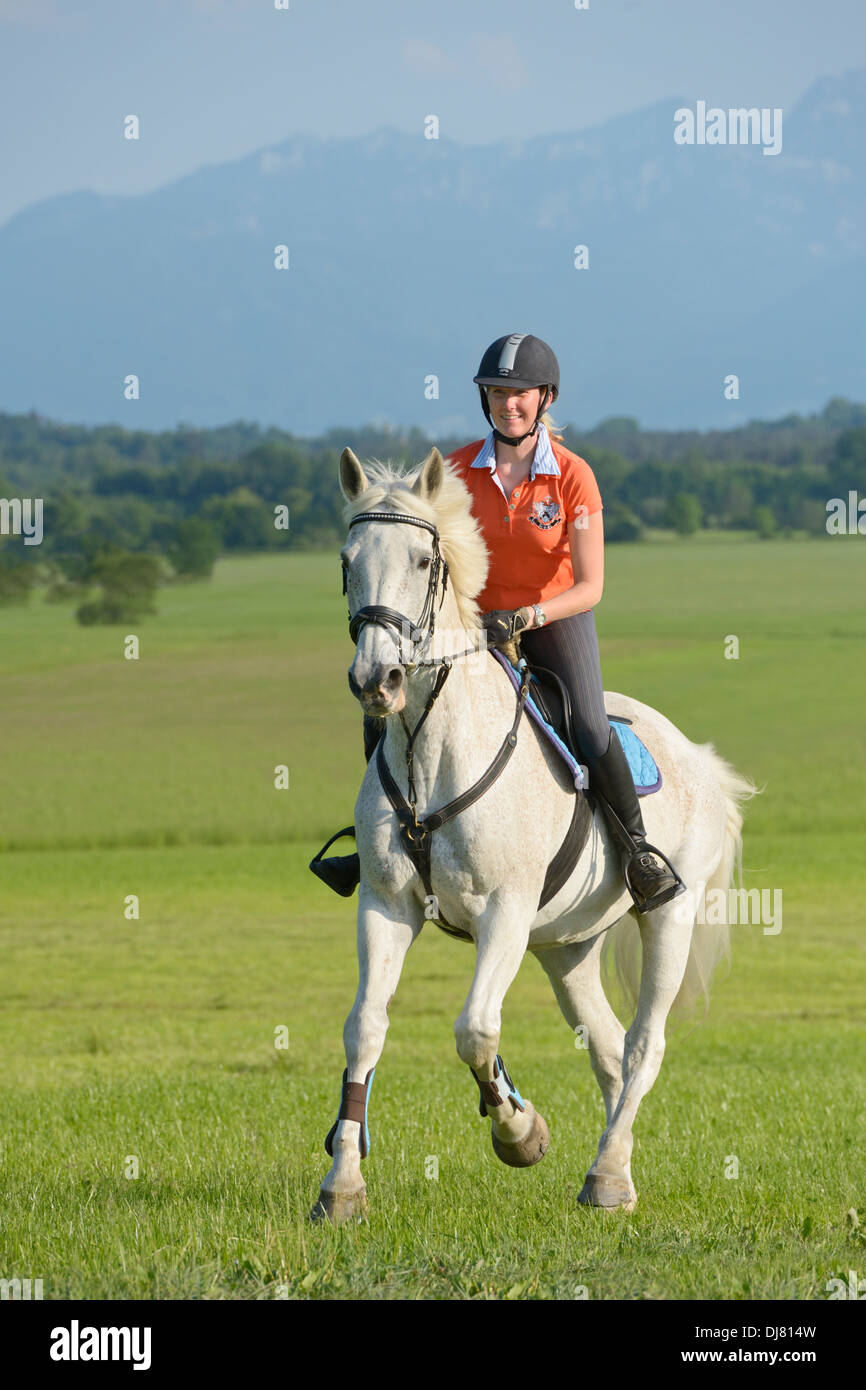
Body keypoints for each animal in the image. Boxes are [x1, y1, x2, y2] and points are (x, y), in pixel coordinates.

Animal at [312, 450, 756, 1223]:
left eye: (424, 560)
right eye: (347, 560)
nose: (378, 679)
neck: (432, 748)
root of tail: (698, 757)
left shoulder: (505, 912)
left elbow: (475, 1028)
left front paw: (520, 1133)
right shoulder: (386, 906)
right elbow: (365, 1027)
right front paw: (342, 1186)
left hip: (668, 913)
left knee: (643, 1046)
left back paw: (606, 1176)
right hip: (566, 946)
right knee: (608, 1048)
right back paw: (614, 1171)